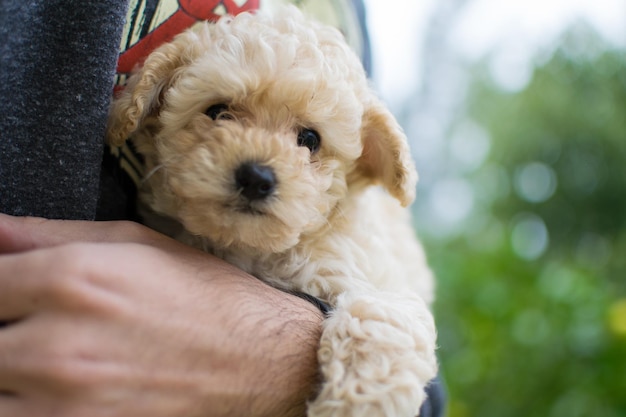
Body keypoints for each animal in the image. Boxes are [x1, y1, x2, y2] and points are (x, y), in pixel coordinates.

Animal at [107, 6, 436, 416]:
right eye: (218, 111)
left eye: (310, 139)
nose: (256, 177)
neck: (250, 248)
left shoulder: (382, 285)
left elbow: (378, 319)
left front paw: (353, 404)